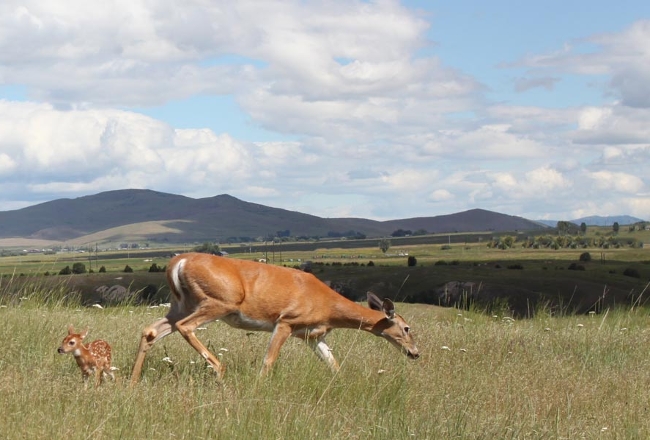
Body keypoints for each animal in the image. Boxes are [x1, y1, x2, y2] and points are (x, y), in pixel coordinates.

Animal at [130, 252, 419, 384]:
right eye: (407, 328)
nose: (416, 353)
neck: (328, 306)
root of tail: (178, 261)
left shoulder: (312, 336)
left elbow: (333, 364)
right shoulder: (286, 321)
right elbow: (268, 361)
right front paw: (259, 387)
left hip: (180, 303)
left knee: (151, 330)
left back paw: (132, 380)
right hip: (217, 301)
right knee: (185, 327)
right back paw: (221, 369)